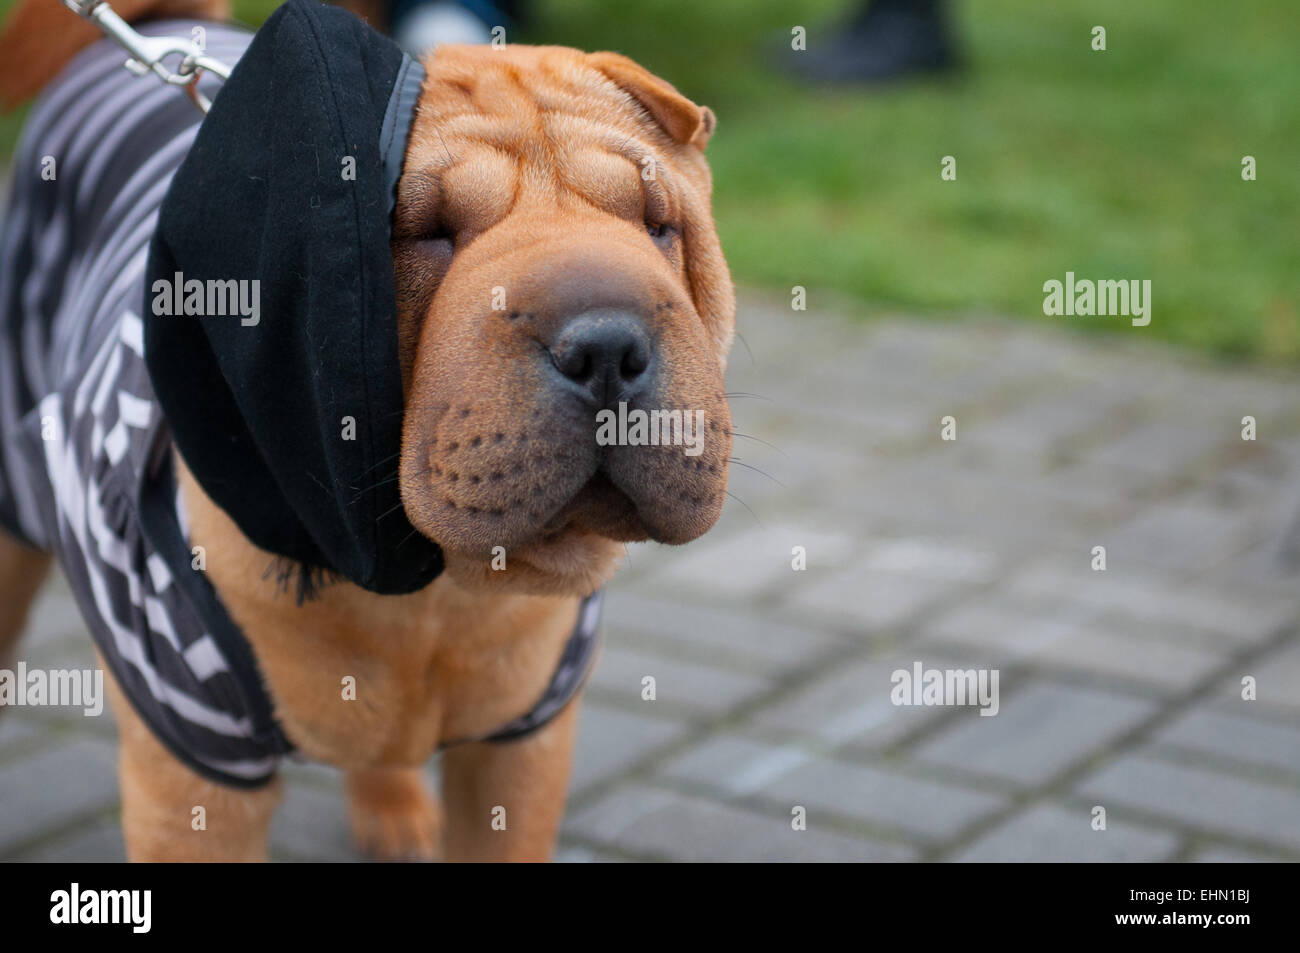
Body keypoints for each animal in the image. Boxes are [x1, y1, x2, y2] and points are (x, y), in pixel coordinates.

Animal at [0, 0, 733, 863]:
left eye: (658, 224)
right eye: (425, 231)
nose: (608, 347)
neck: (431, 596)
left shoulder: (524, 746)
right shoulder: (193, 775)